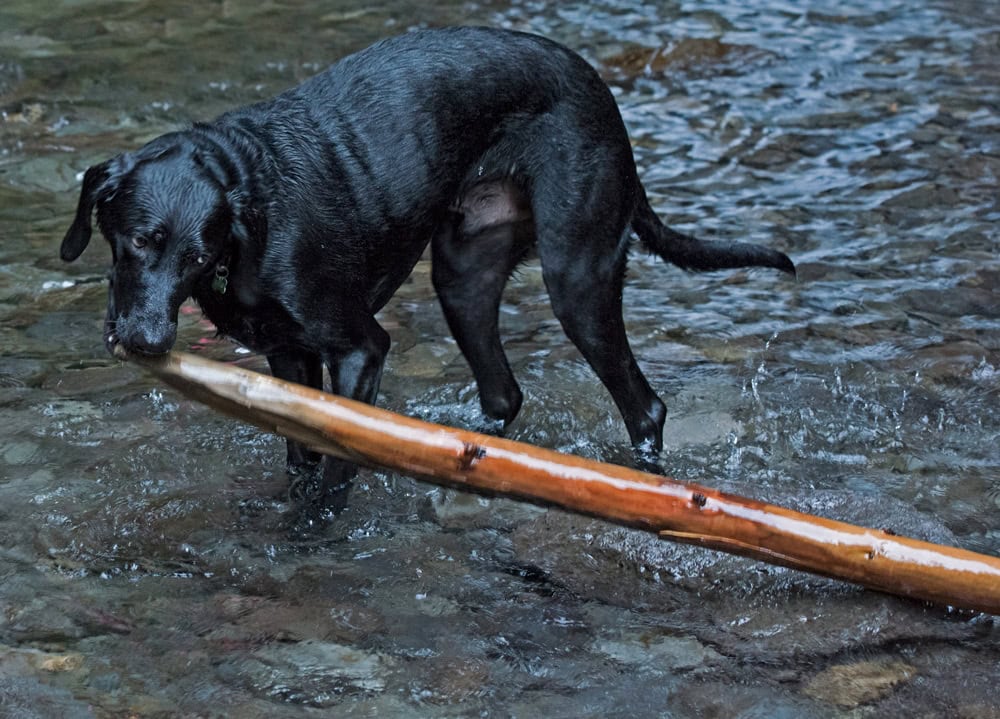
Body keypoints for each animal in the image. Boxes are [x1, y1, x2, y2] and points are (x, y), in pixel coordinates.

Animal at [62, 28, 796, 510]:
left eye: (199, 255)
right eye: (136, 241)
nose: (146, 340)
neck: (245, 193)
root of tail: (600, 92)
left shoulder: (359, 348)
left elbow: (334, 472)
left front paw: (311, 533)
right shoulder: (287, 359)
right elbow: (300, 461)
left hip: (576, 282)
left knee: (644, 407)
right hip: (462, 278)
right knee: (503, 398)